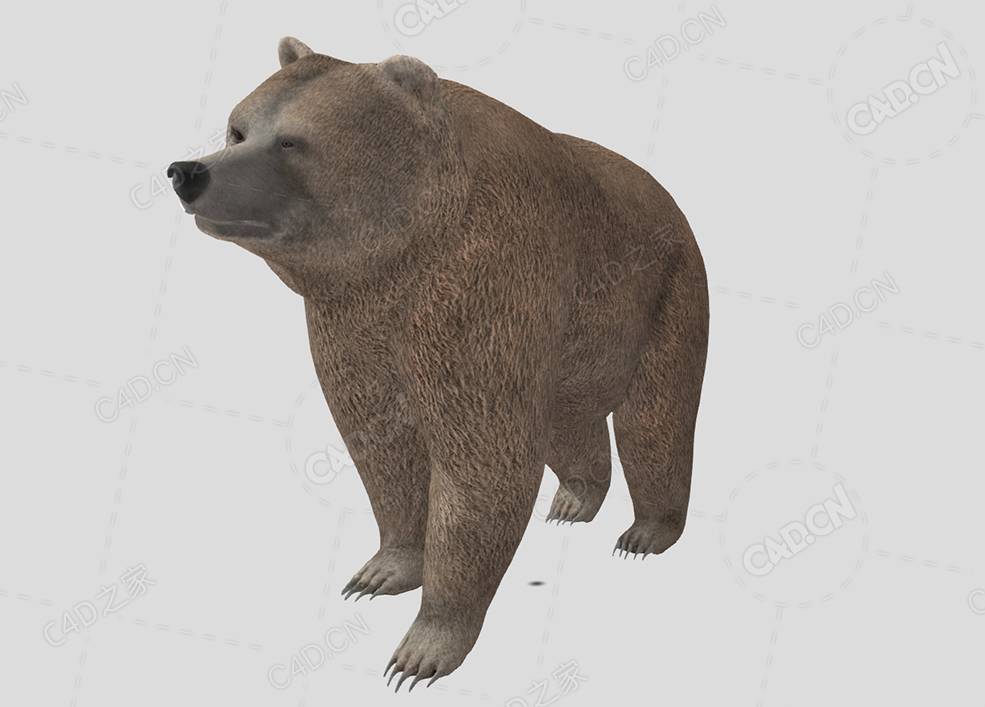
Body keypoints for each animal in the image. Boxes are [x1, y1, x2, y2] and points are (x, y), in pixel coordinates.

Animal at [168, 36, 709, 691]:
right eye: (237, 129)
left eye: (291, 141)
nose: (189, 172)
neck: (399, 260)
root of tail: (668, 195)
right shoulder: (352, 323)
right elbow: (381, 443)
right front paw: (382, 571)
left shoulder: (483, 284)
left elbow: (482, 462)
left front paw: (421, 650)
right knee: (565, 419)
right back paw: (575, 499)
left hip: (665, 290)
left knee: (653, 418)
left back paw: (645, 532)